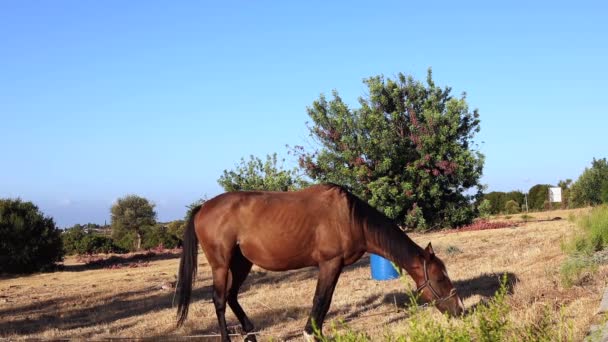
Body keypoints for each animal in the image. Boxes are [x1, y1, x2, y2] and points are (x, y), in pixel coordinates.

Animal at [176, 184, 466, 340]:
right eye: (440, 278)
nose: (461, 310)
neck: (350, 217)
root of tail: (202, 208)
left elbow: (324, 302)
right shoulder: (330, 264)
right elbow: (321, 300)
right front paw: (311, 334)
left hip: (241, 263)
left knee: (232, 296)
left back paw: (251, 335)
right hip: (221, 265)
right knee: (219, 299)